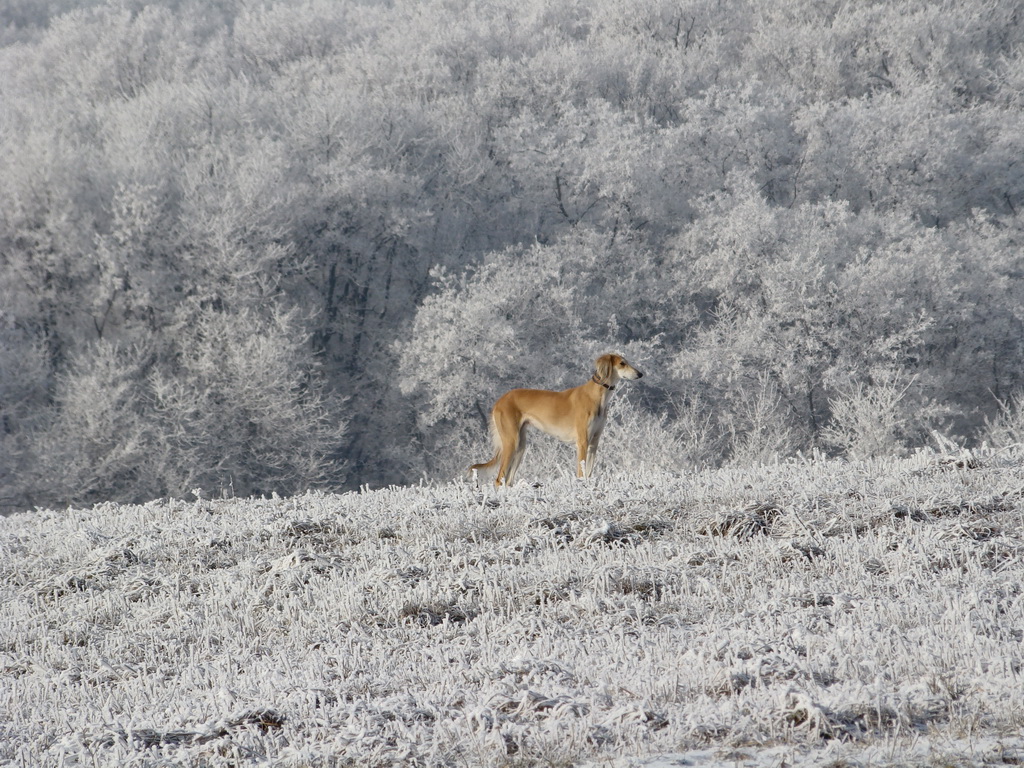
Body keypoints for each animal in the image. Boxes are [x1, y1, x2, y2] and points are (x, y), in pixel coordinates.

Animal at [468, 354, 638, 487]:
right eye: (622, 363)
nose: (640, 374)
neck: (597, 396)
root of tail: (499, 401)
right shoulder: (582, 442)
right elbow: (581, 474)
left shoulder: (594, 442)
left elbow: (588, 473)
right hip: (511, 442)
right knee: (499, 480)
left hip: (520, 446)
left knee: (508, 481)